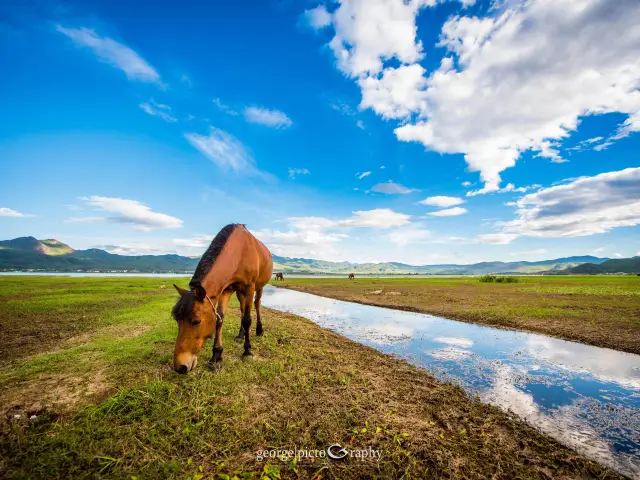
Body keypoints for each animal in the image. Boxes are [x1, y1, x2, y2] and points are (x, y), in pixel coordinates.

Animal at [171, 223, 272, 374]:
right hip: (239, 292)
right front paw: (216, 356)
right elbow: (220, 319)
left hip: (259, 287)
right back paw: (240, 335)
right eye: (177, 320)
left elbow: (247, 319)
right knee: (242, 309)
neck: (239, 253)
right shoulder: (226, 289)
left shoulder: (249, 287)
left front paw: (247, 351)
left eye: (196, 322)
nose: (180, 367)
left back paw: (259, 330)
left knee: (257, 304)